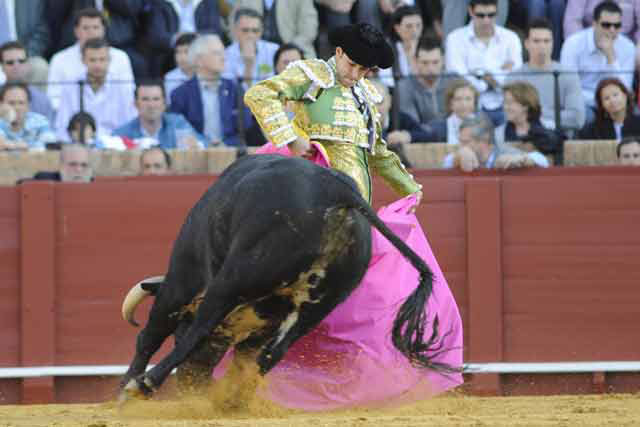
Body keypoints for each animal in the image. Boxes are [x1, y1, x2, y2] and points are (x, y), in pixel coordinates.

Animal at [120, 155, 458, 402]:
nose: (192, 384)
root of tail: (338, 190)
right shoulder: (264, 322)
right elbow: (246, 355)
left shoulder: (182, 283)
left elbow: (152, 335)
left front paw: (128, 387)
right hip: (318, 306)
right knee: (272, 354)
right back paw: (231, 401)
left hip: (234, 278)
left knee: (198, 328)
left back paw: (147, 384)